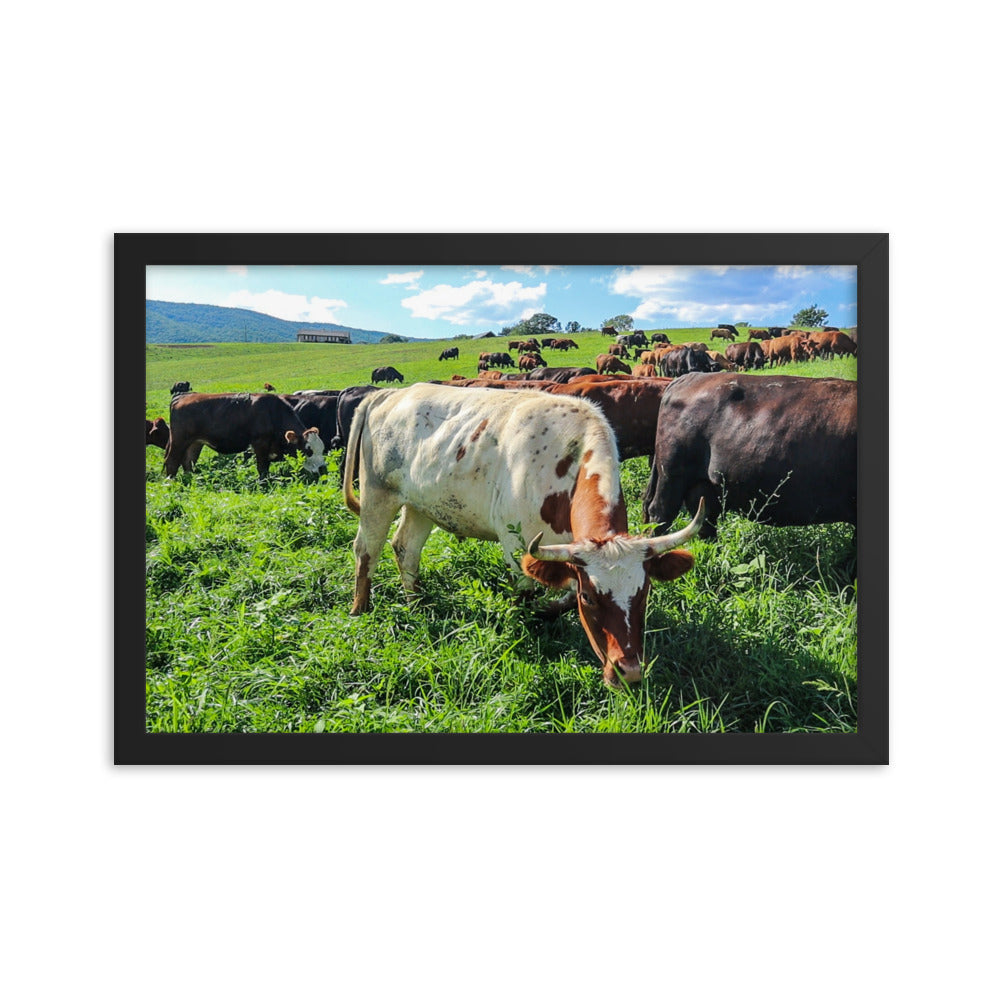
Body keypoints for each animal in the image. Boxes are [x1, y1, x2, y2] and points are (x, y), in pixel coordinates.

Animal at [163, 392, 327, 480]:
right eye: (308, 450)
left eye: (322, 448)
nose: (323, 470)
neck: (272, 413)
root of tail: (183, 396)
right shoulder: (260, 444)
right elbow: (262, 468)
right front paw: (264, 483)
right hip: (179, 440)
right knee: (172, 461)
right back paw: (171, 483)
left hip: (195, 442)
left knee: (188, 461)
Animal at [342, 383, 704, 686]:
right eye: (591, 598)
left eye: (644, 593)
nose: (628, 672)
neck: (567, 462)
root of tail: (389, 394)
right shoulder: (517, 546)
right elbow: (526, 597)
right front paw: (528, 628)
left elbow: (562, 597)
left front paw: (549, 612)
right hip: (377, 495)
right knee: (366, 551)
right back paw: (360, 610)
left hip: (421, 505)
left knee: (406, 549)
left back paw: (416, 602)